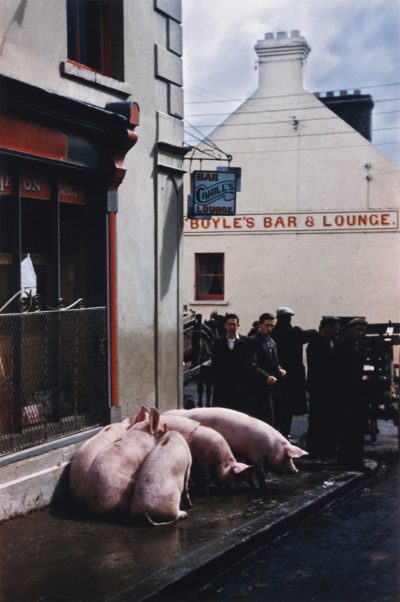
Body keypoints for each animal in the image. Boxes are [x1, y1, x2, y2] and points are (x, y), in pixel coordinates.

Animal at [164, 406, 308, 486]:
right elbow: (259, 472)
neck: (272, 446)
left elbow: (251, 471)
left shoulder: (249, 456)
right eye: (288, 457)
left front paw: (251, 484)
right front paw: (264, 488)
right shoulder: (256, 454)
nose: (296, 470)